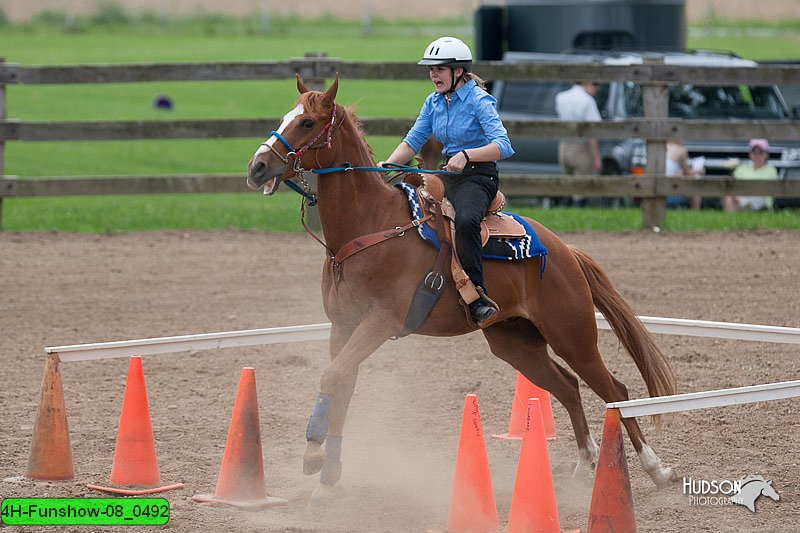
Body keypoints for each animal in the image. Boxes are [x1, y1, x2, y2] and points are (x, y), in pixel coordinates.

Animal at [247, 74, 680, 498]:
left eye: (307, 122)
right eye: (286, 116)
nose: (257, 166)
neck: (370, 225)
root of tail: (564, 251)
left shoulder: (379, 322)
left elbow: (332, 377)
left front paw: (313, 454)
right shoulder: (343, 326)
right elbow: (342, 385)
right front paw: (328, 468)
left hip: (573, 337)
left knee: (614, 391)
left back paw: (655, 469)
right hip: (516, 342)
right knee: (569, 387)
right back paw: (582, 467)